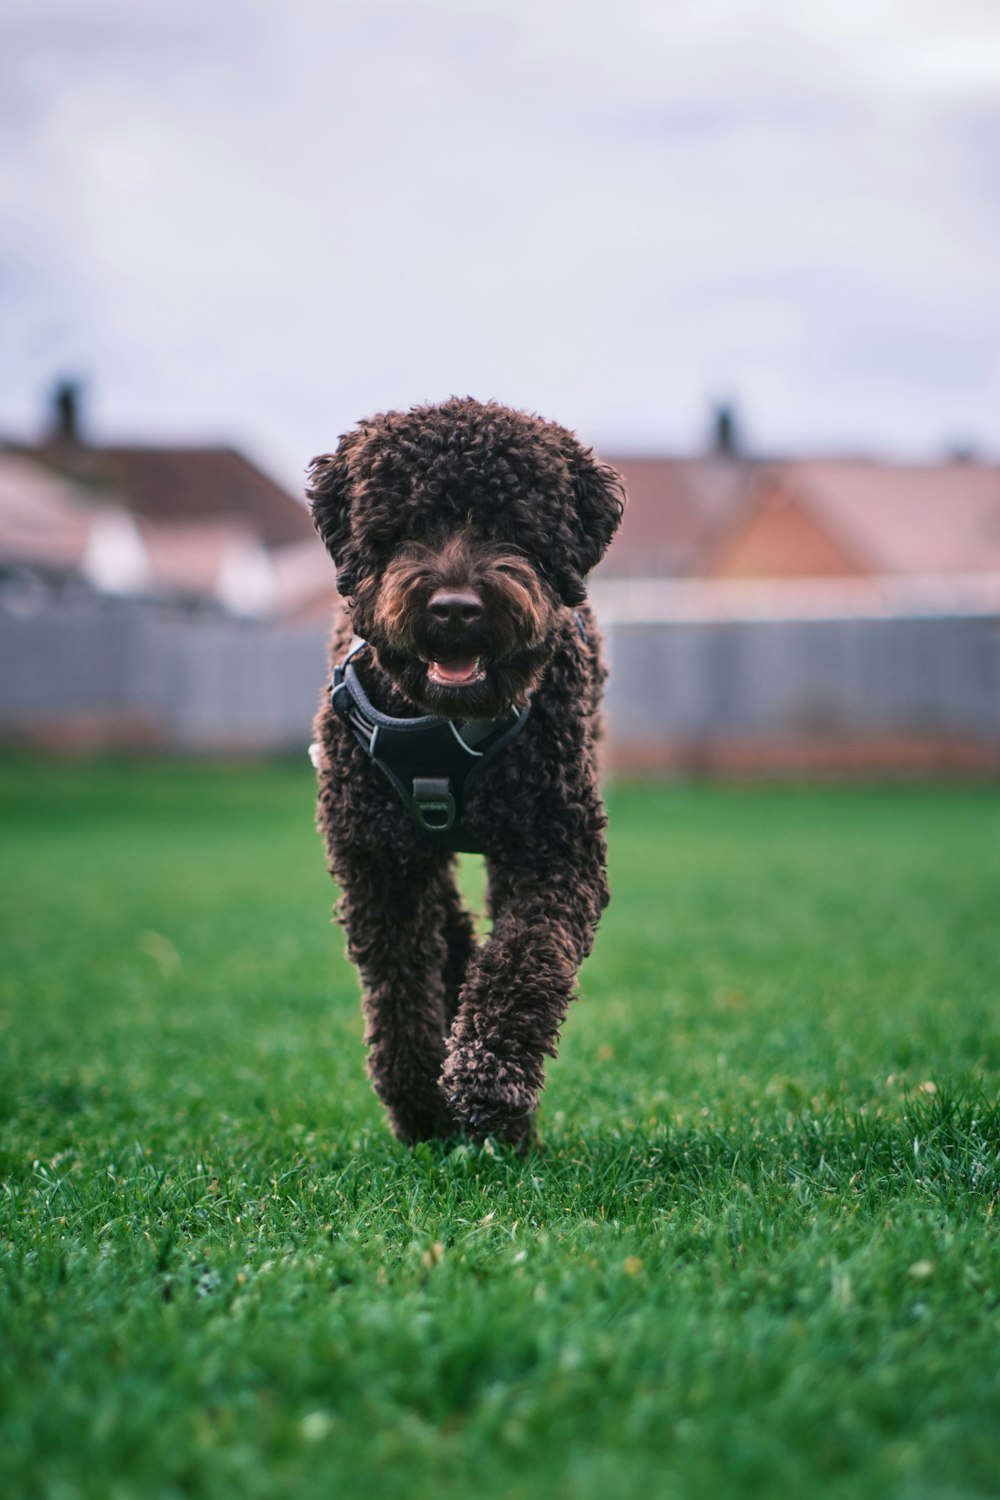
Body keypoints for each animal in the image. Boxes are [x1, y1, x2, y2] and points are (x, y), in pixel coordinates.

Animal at [310, 396, 626, 1146]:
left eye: (511, 525)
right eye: (407, 526)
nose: (456, 609)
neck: (446, 725)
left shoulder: (555, 849)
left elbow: (525, 959)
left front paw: (490, 1083)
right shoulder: (380, 864)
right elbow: (398, 990)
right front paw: (421, 1104)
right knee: (446, 935)